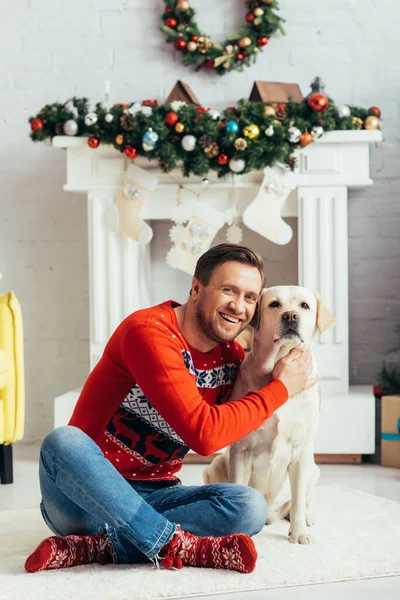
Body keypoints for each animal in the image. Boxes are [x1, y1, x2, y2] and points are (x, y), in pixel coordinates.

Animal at [203, 286, 334, 544]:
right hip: (214, 466)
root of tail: (270, 516)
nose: (290, 316)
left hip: (314, 469)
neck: (279, 367)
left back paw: (305, 519)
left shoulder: (301, 451)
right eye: (274, 304)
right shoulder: (241, 450)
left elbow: (297, 501)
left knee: (298, 502)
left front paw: (299, 534)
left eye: (304, 306)